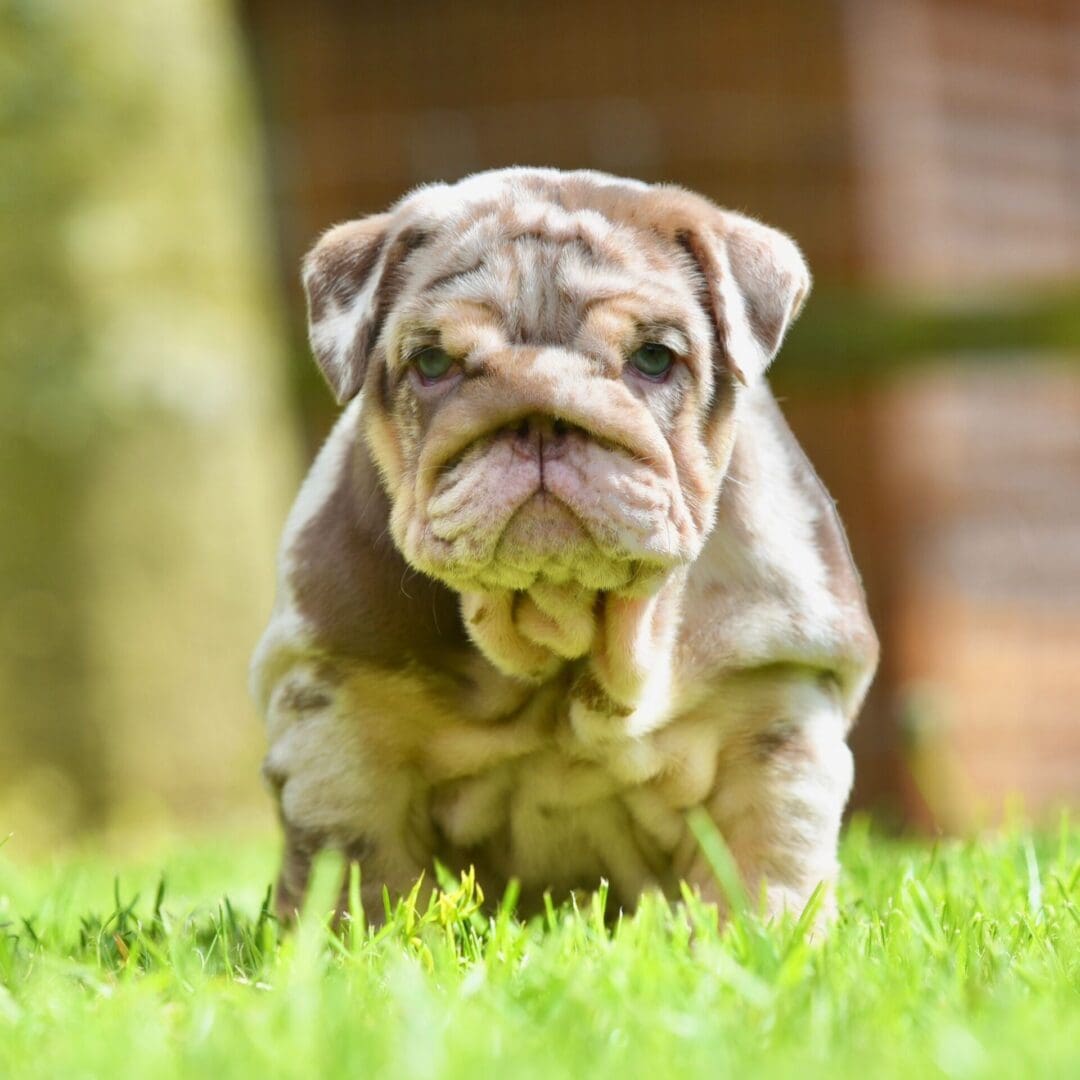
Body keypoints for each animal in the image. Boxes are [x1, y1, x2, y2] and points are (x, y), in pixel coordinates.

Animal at [252, 164, 876, 924]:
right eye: (432, 361)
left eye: (654, 359)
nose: (542, 412)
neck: (562, 625)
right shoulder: (340, 720)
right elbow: (362, 872)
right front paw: (357, 942)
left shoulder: (776, 707)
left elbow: (763, 862)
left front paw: (762, 938)